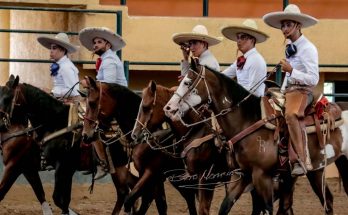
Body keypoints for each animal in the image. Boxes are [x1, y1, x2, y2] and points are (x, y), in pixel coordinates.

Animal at [82, 76, 200, 214]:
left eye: (92, 103)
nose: (85, 135)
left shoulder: (151, 173)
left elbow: (140, 200)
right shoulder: (151, 178)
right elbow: (156, 203)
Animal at [163, 59, 348, 214]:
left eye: (187, 82)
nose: (169, 108)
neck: (247, 120)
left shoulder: (261, 176)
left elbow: (265, 209)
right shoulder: (245, 175)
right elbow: (225, 206)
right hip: (317, 169)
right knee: (326, 201)